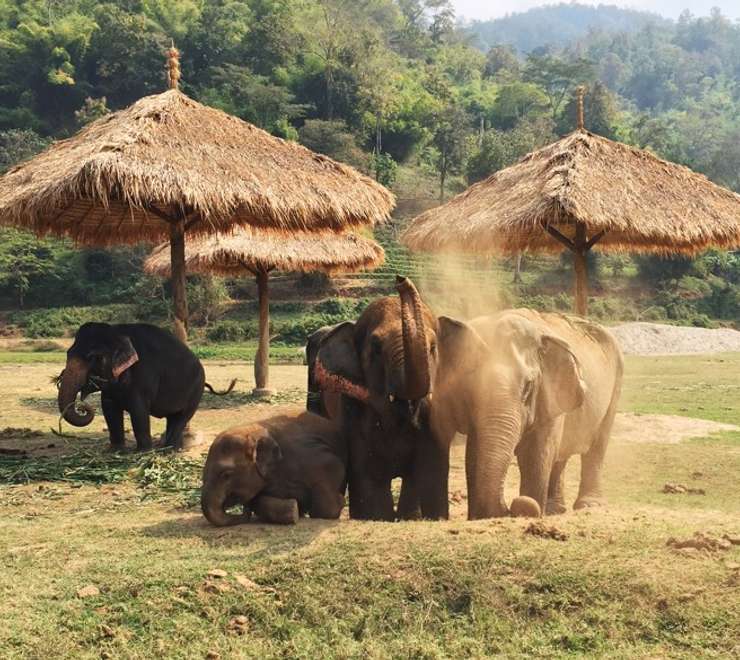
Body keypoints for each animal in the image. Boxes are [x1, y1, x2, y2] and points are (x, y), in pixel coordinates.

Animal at [57, 322, 234, 451]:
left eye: (93, 358)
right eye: (68, 353)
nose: (81, 405)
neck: (117, 331)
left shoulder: (144, 376)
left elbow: (139, 410)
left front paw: (143, 451)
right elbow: (109, 409)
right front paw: (115, 450)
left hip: (195, 392)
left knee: (181, 417)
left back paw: (170, 450)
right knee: (173, 418)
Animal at [200, 412, 347, 527]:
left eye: (226, 475)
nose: (244, 509)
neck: (254, 430)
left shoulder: (311, 453)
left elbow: (335, 466)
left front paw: (340, 503)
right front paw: (294, 510)